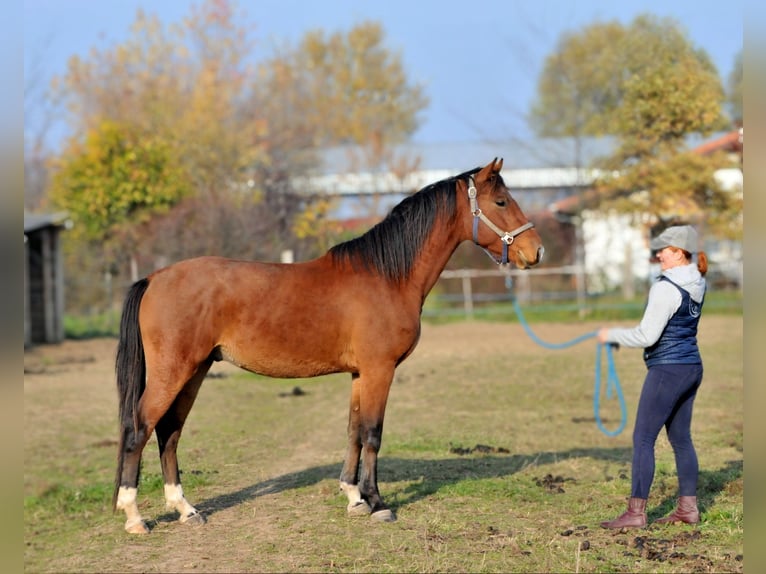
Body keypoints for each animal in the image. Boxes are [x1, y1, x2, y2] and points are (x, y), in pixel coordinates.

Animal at [114, 159, 544, 536]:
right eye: (501, 202)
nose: (536, 251)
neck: (386, 276)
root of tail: (154, 278)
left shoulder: (360, 373)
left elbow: (353, 430)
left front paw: (354, 498)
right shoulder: (379, 370)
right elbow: (372, 432)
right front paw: (377, 502)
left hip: (196, 371)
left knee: (169, 432)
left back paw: (186, 510)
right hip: (174, 371)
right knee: (140, 428)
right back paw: (135, 517)